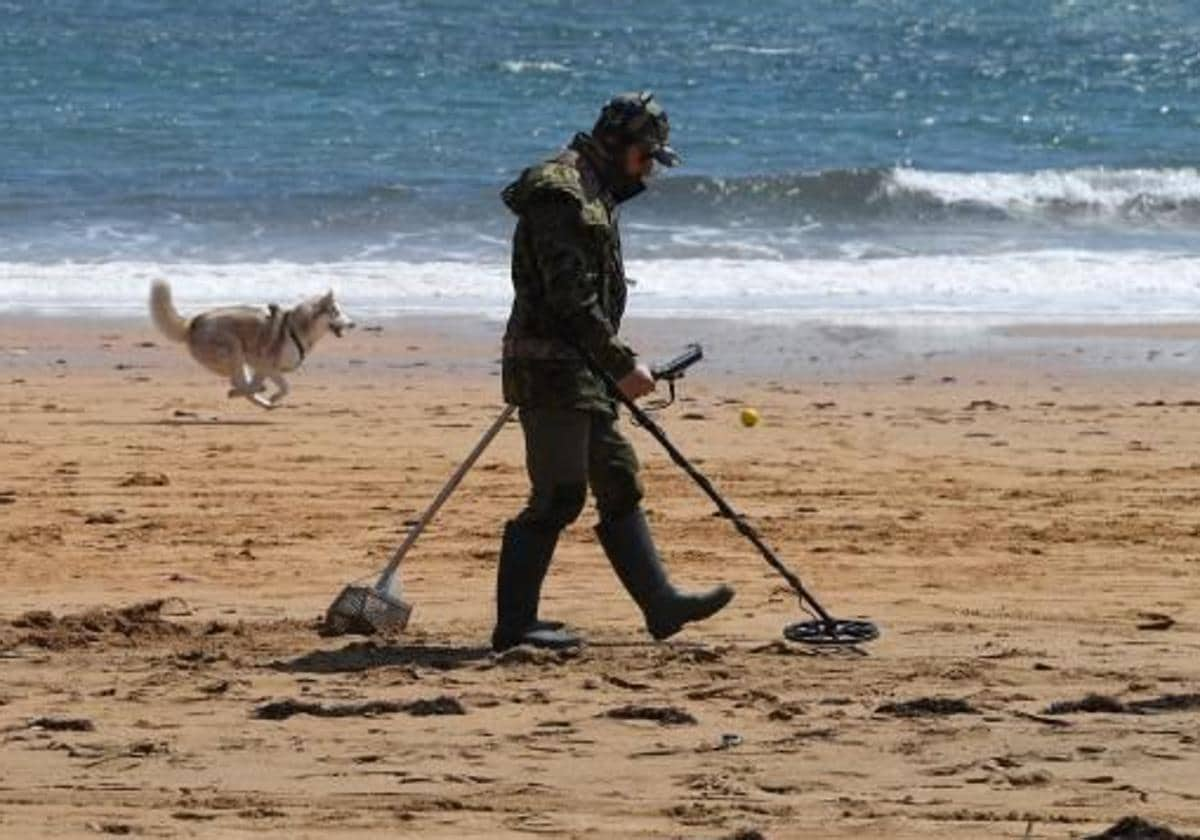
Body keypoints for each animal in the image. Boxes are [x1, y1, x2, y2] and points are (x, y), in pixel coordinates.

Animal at [148, 282, 350, 410]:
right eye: (336, 312)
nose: (353, 324)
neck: (295, 329)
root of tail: (193, 323)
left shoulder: (266, 368)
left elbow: (277, 386)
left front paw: (269, 396)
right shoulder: (267, 366)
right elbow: (284, 387)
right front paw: (271, 395)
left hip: (238, 358)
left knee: (241, 384)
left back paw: (262, 402)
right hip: (234, 350)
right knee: (238, 383)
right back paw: (244, 393)